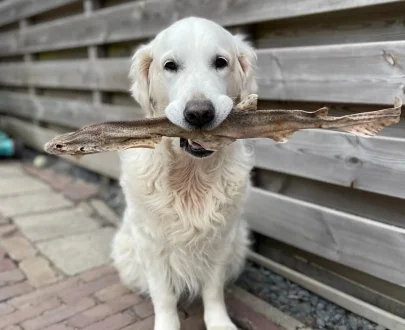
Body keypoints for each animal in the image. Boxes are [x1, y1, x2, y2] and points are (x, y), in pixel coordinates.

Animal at [110, 16, 256, 330]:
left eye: (220, 62)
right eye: (170, 66)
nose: (199, 113)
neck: (191, 174)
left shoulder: (221, 238)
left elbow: (213, 289)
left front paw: (219, 322)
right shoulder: (150, 243)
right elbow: (163, 295)